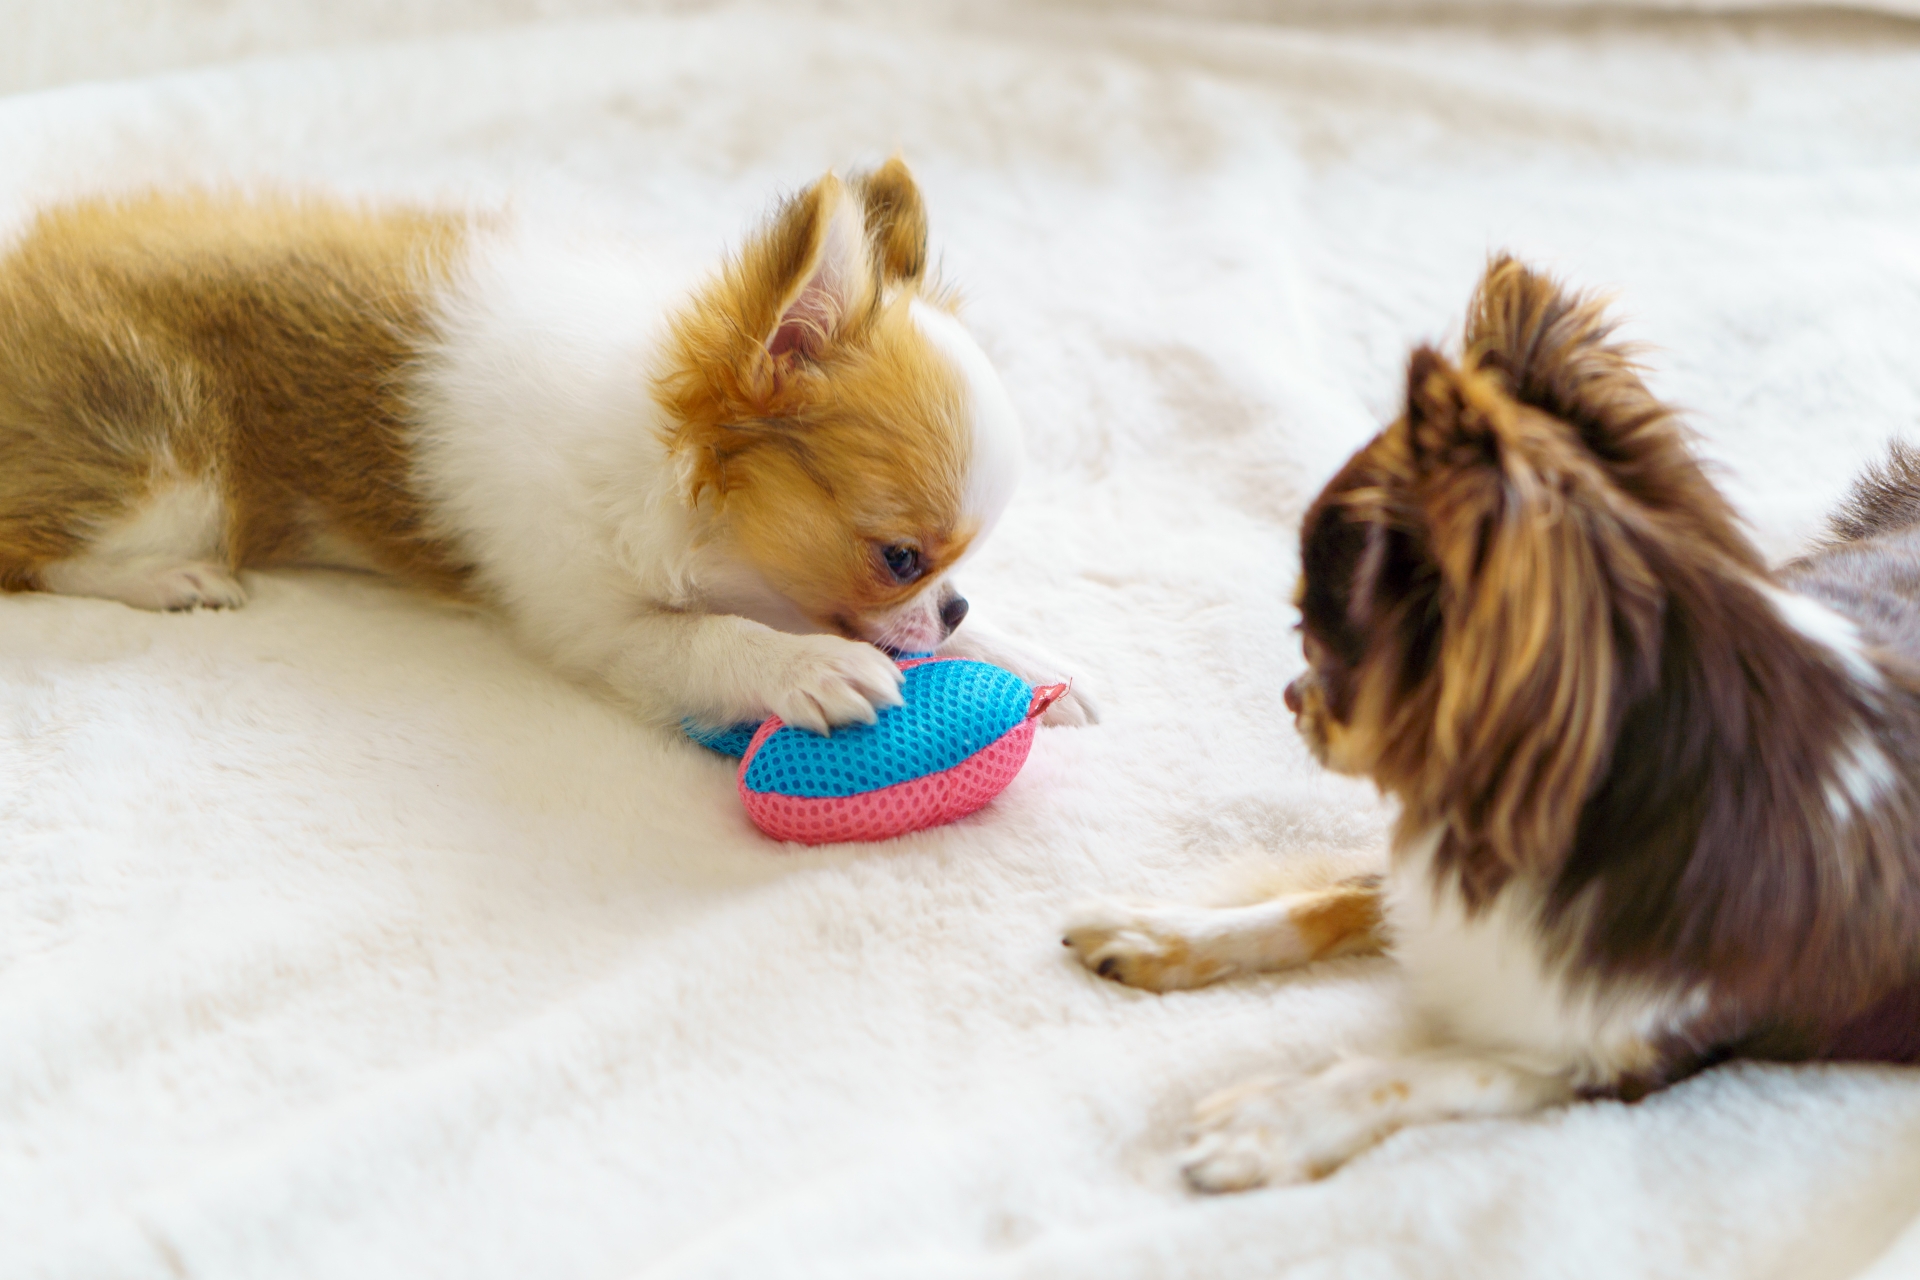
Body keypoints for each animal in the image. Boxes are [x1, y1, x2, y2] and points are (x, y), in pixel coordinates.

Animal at [0, 165, 1098, 736]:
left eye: (954, 571)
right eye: (899, 556)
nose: (955, 603)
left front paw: (1023, 654)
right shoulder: (589, 617)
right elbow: (706, 639)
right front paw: (808, 667)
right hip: (170, 469)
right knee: (41, 551)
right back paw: (176, 579)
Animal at [1067, 257, 1920, 1189]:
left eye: (1319, 640)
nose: (1291, 695)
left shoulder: (1628, 1057)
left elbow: (1426, 1071)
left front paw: (1275, 1120)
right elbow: (1326, 900)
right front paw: (1163, 931)